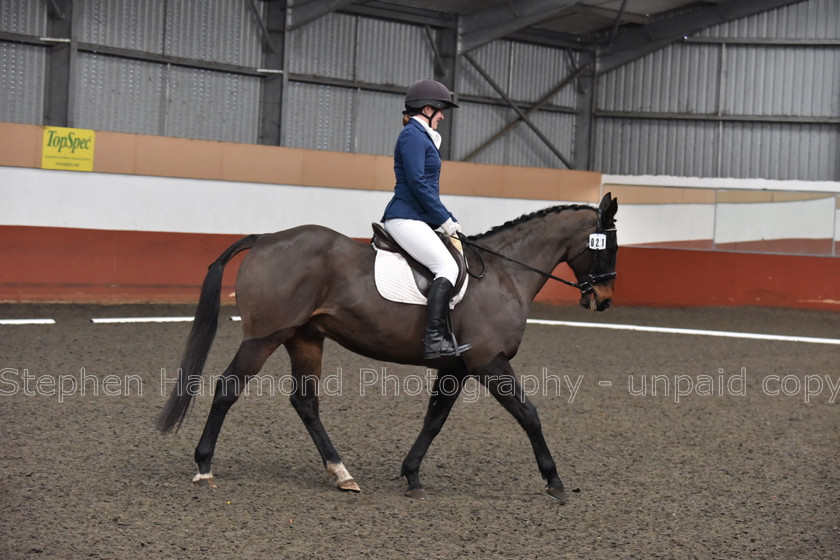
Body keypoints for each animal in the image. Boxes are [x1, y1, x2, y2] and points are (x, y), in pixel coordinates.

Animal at [158, 192, 616, 504]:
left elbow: (434, 420)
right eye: (608, 246)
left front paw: (411, 474)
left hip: (304, 338)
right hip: (265, 337)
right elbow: (528, 414)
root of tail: (266, 238)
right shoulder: (488, 361)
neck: (505, 274)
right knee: (227, 389)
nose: (604, 299)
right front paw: (554, 481)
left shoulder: (457, 367)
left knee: (305, 402)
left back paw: (342, 473)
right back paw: (204, 467)